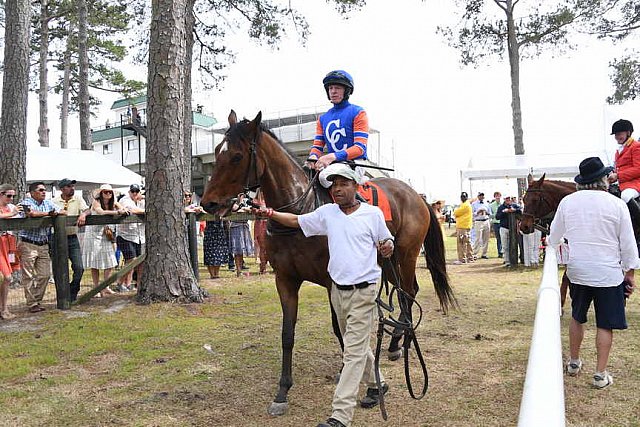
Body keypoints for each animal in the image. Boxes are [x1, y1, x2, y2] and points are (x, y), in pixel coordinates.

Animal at [202, 110, 458, 418]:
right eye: (217, 150)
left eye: (237, 156)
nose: (208, 203)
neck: (300, 213)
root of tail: (416, 195)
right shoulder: (285, 279)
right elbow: (287, 333)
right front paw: (282, 391)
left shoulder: (332, 280)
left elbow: (340, 327)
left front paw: (349, 370)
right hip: (388, 261)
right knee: (408, 291)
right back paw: (395, 341)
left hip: (405, 255)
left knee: (407, 293)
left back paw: (400, 343)